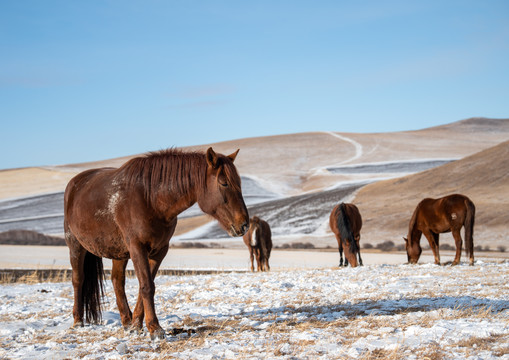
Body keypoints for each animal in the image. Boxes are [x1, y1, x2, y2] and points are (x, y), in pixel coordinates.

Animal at [62, 146, 249, 338]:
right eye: (224, 183)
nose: (244, 224)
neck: (151, 199)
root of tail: (75, 183)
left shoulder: (159, 251)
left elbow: (144, 286)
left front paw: (136, 325)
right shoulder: (137, 248)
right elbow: (146, 286)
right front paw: (155, 328)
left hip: (119, 252)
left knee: (117, 281)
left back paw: (126, 322)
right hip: (75, 245)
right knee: (78, 279)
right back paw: (78, 321)